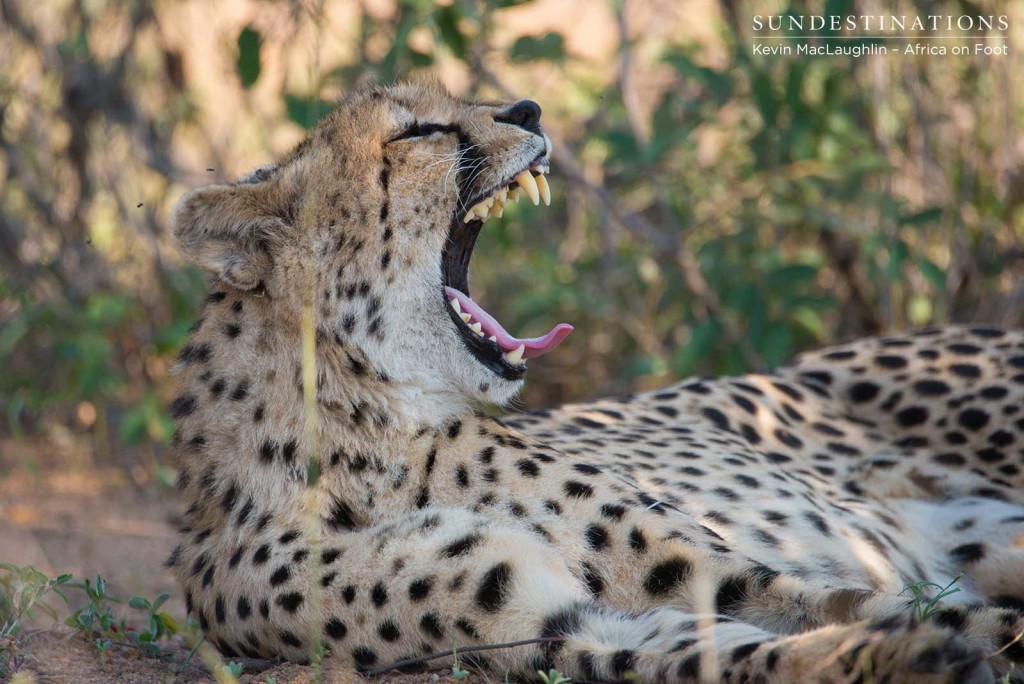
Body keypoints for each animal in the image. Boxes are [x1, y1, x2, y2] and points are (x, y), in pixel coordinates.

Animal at [167, 82, 1024, 679]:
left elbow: (861, 601)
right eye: (419, 130)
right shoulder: (548, 623)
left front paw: (957, 640)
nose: (528, 107)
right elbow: (724, 651)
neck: (363, 436)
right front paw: (898, 656)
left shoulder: (708, 566)